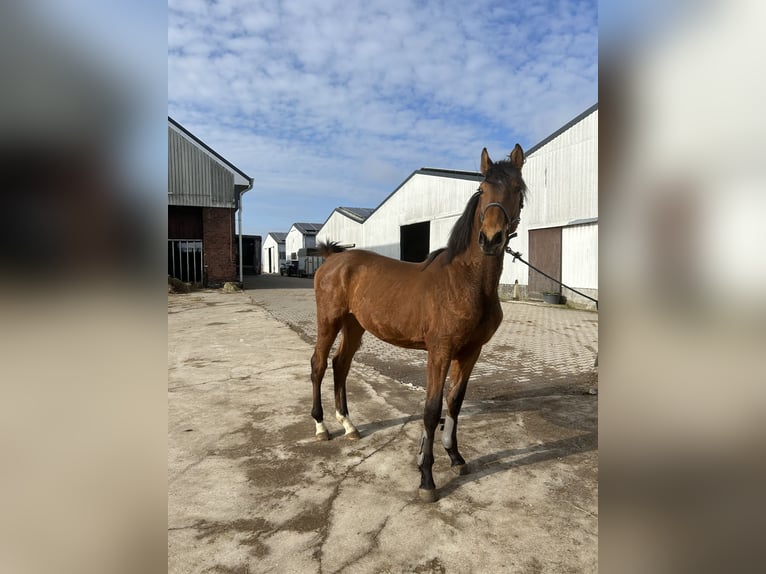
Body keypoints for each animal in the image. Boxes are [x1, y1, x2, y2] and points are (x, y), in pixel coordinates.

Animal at [310, 145, 526, 502]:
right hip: (329, 320)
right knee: (319, 364)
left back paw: (349, 425)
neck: (465, 281)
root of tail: (332, 258)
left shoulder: (471, 352)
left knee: (341, 365)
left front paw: (455, 457)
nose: (491, 239)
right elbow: (431, 408)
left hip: (355, 326)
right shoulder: (439, 352)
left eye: (518, 190)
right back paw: (322, 426)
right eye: (482, 190)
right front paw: (426, 478)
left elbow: (454, 403)